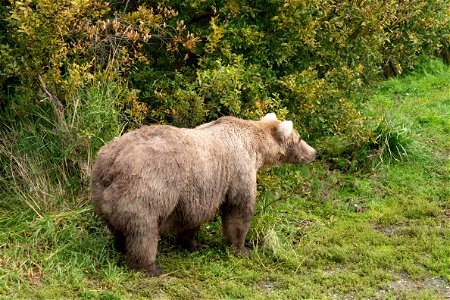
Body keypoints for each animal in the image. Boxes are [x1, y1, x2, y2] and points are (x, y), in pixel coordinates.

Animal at [91, 113, 316, 276]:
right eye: (300, 138)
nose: (314, 153)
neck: (256, 148)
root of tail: (111, 163)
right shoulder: (239, 168)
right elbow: (238, 208)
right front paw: (242, 247)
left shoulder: (197, 191)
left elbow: (192, 217)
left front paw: (196, 243)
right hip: (147, 188)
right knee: (143, 231)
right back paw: (150, 268)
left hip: (104, 194)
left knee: (118, 226)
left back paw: (120, 246)